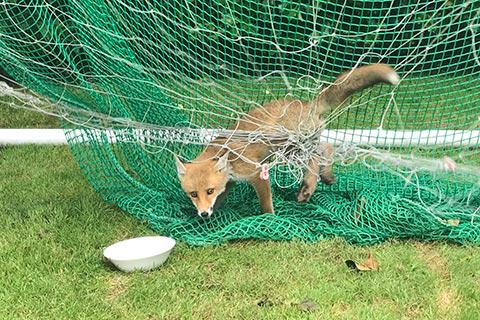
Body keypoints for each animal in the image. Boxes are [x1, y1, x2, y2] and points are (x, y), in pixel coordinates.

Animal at [174, 63, 400, 219]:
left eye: (208, 190)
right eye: (193, 194)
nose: (203, 214)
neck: (229, 158)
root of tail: (307, 104)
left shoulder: (257, 174)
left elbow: (266, 204)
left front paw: (270, 219)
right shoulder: (229, 183)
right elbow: (219, 201)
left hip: (292, 147)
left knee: (321, 153)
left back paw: (309, 186)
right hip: (297, 146)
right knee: (324, 150)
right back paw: (324, 177)